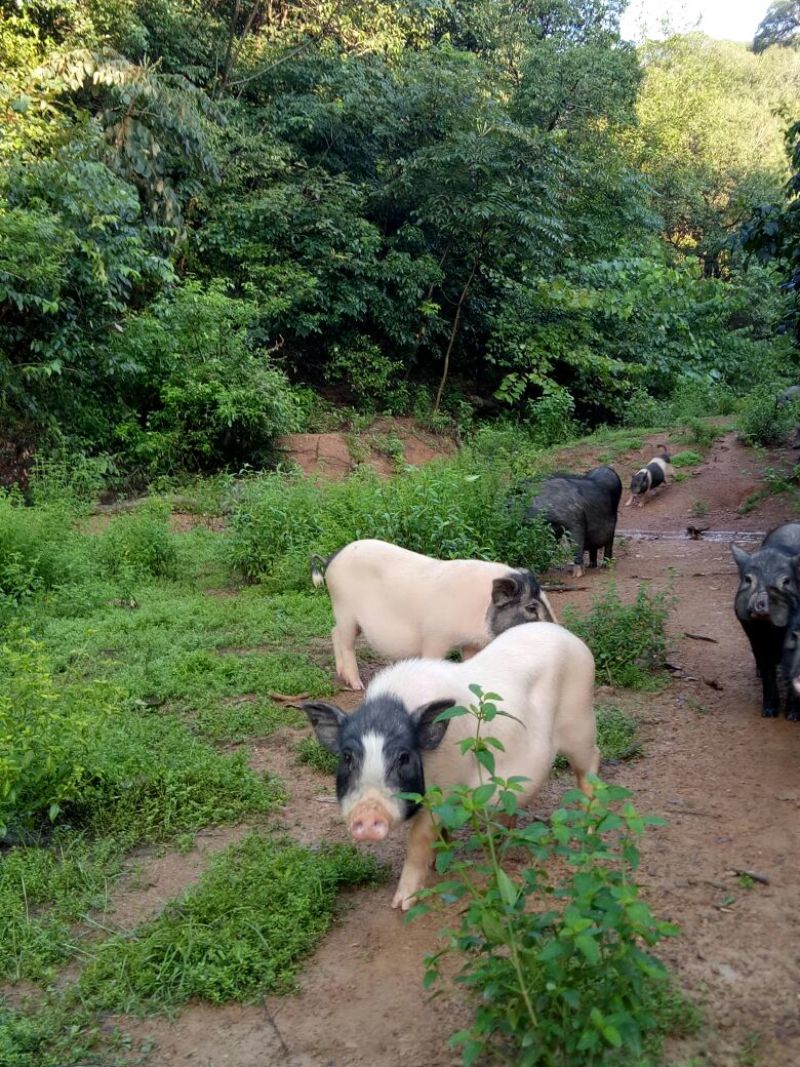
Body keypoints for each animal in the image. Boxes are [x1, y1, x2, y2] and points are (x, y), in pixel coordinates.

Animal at [738, 522, 800, 717]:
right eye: (748, 579)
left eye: (786, 581)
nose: (761, 603)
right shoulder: (752, 630)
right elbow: (766, 666)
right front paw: (769, 712)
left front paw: (792, 716)